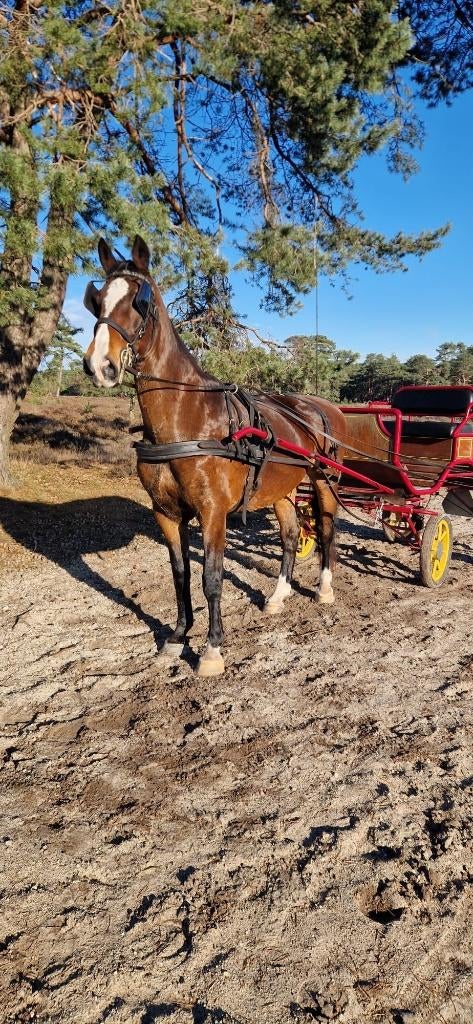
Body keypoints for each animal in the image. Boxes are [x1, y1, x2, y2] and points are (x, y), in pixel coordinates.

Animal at [83, 235, 347, 676]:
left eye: (140, 300)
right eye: (97, 299)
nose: (97, 365)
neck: (187, 421)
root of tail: (320, 406)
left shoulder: (212, 512)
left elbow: (211, 577)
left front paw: (211, 649)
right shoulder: (166, 513)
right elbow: (180, 575)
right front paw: (176, 638)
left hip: (324, 479)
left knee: (325, 529)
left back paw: (325, 589)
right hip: (282, 488)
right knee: (292, 536)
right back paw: (279, 595)